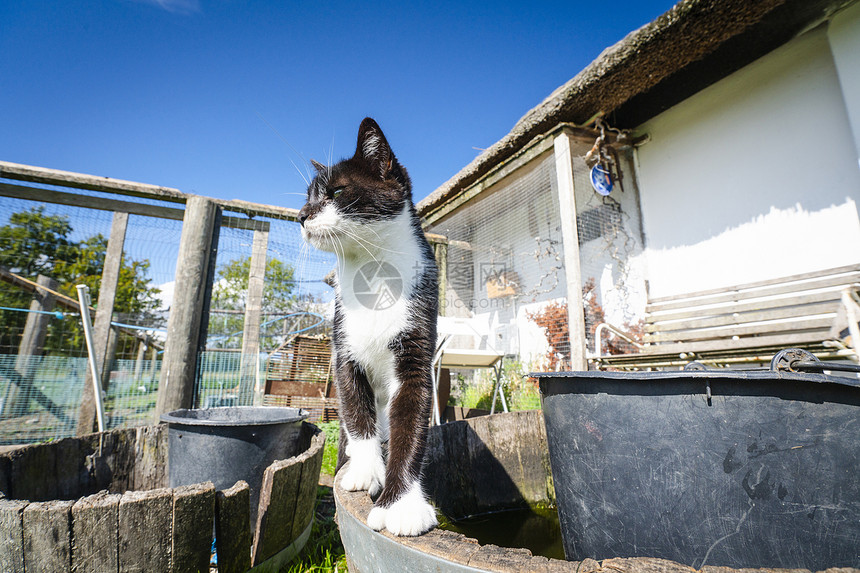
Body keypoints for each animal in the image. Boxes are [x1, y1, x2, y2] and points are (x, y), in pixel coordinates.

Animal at [298, 117, 440, 536]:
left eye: (336, 191)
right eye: (307, 197)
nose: (301, 215)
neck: (373, 270)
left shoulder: (415, 355)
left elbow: (410, 427)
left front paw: (402, 506)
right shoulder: (343, 352)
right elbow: (358, 418)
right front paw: (364, 473)